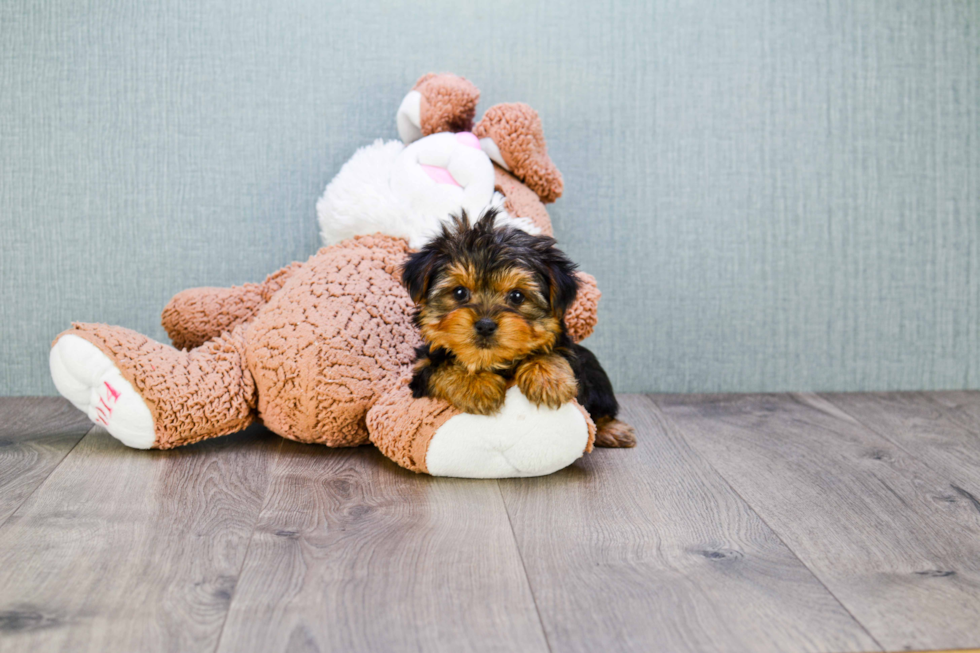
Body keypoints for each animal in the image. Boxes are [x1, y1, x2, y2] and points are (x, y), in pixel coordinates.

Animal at [398, 209, 636, 448]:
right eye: (459, 292)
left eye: (517, 296)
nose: (485, 325)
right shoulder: (422, 366)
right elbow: (441, 367)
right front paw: (477, 385)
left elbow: (553, 352)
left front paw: (548, 379)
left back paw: (612, 430)